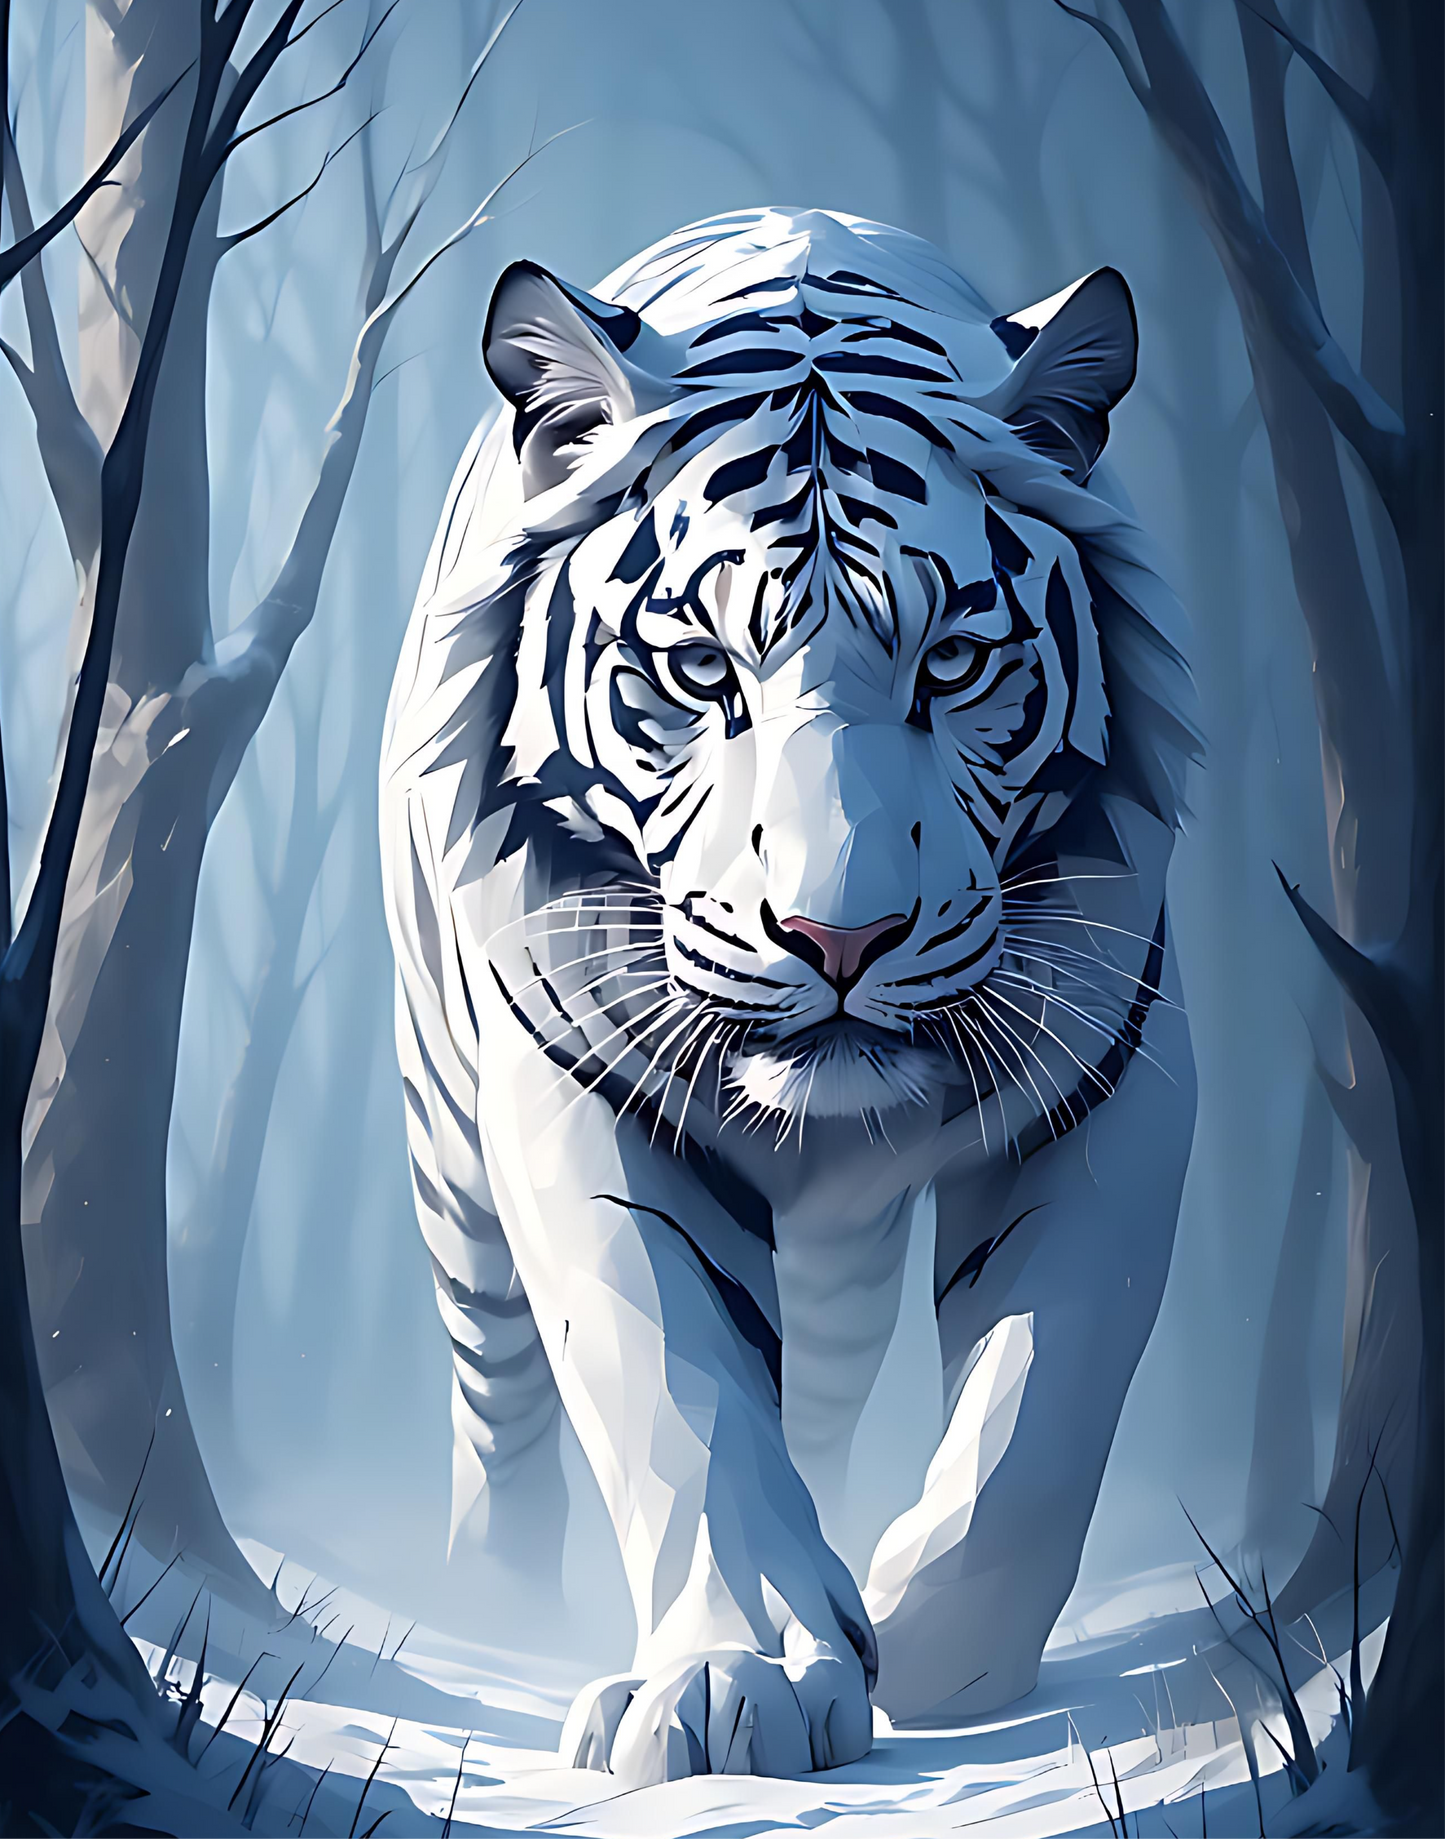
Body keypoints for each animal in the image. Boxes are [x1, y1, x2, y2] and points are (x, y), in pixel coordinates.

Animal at [380, 207, 1198, 1786]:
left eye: (954, 662)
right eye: (701, 670)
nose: (839, 935)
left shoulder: (1114, 1073)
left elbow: (1040, 1406)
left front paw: (924, 1651)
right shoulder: (578, 1087)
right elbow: (676, 1391)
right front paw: (731, 1678)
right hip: (449, 1144)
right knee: (498, 1395)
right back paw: (490, 1592)